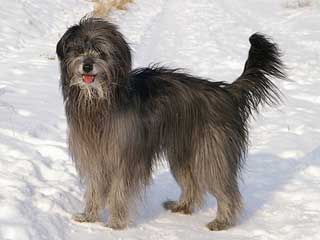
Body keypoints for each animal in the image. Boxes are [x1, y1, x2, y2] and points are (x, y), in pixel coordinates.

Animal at [56, 17, 286, 231]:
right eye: (78, 50)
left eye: (101, 52)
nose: (87, 65)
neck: (100, 102)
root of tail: (226, 92)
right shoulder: (93, 154)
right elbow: (94, 188)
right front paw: (89, 216)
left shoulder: (126, 157)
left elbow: (119, 191)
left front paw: (115, 223)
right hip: (181, 153)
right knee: (192, 184)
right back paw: (182, 206)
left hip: (211, 152)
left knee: (226, 189)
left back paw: (222, 221)